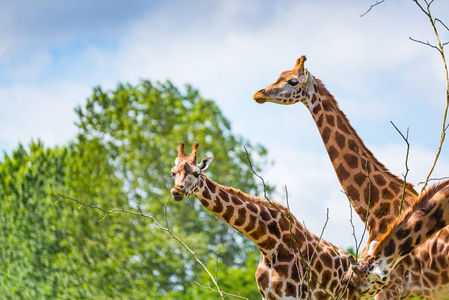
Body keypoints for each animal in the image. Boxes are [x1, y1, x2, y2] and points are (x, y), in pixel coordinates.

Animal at [170, 141, 356, 300]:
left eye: (197, 173)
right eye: (173, 173)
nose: (176, 192)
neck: (268, 245)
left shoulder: (293, 294)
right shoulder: (267, 295)